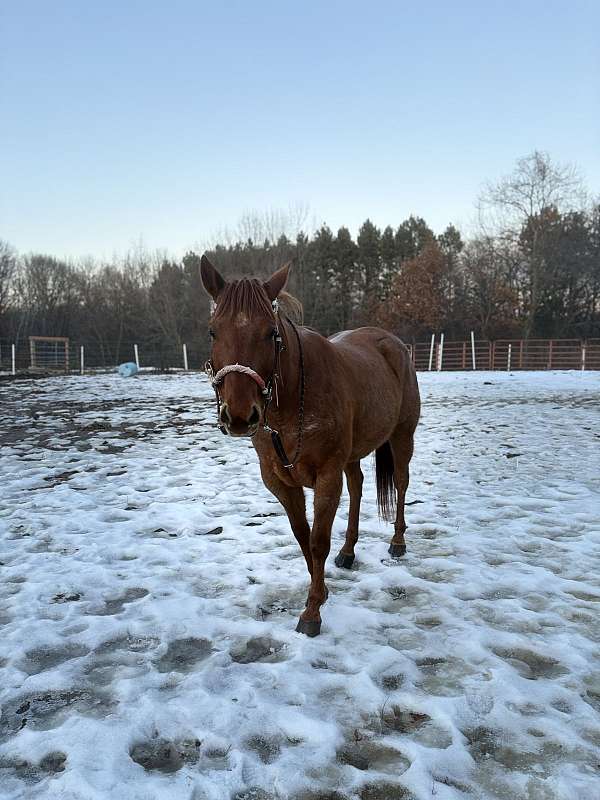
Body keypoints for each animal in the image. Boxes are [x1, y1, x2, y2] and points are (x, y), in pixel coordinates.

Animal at [200, 256, 421, 637]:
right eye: (214, 331)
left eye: (271, 333)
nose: (240, 416)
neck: (291, 402)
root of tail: (393, 345)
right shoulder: (278, 480)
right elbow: (302, 535)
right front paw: (321, 590)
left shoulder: (327, 475)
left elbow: (318, 541)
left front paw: (313, 610)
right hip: (353, 453)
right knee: (358, 486)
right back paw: (348, 551)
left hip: (402, 436)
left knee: (402, 483)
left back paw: (397, 542)